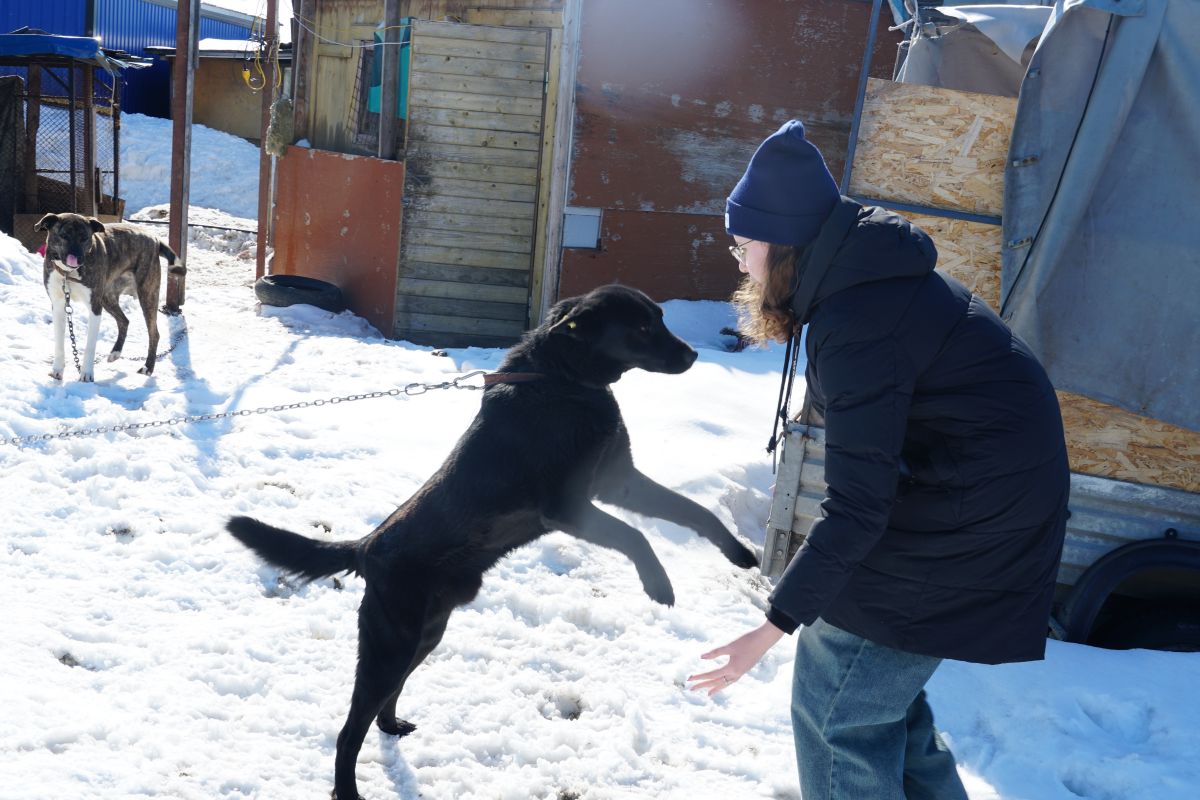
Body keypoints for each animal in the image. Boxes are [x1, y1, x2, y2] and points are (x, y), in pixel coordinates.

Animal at [228, 284, 753, 796]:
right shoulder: (568, 506)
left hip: (425, 635)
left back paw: (393, 725)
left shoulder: (619, 483)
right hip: (390, 643)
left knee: (386, 700)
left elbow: (693, 510)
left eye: (659, 319)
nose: (692, 355)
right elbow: (636, 535)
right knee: (349, 729)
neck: (562, 379)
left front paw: (740, 553)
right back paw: (348, 789)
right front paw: (658, 583)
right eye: (642, 327)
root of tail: (365, 547)